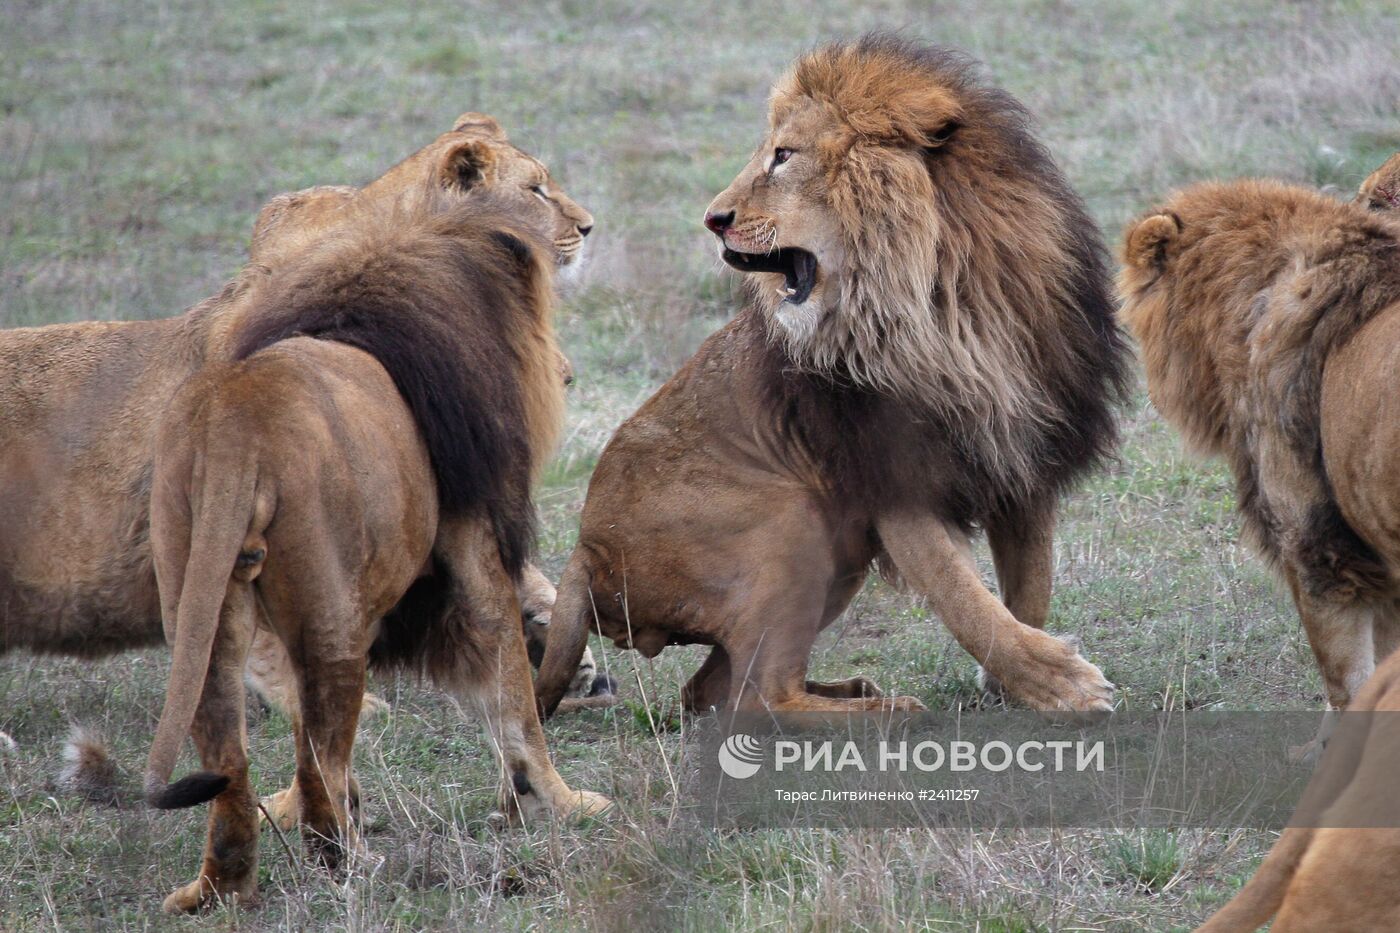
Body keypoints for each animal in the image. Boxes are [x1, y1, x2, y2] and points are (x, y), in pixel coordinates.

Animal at [529, 29, 1131, 711]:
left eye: (783, 157)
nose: (713, 219)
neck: (949, 312)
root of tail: (583, 552)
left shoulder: (1021, 453)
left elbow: (1030, 586)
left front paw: (1015, 686)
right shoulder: (894, 479)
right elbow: (964, 597)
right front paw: (1063, 685)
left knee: (710, 690)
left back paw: (856, 691)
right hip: (793, 519)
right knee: (760, 697)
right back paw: (891, 711)